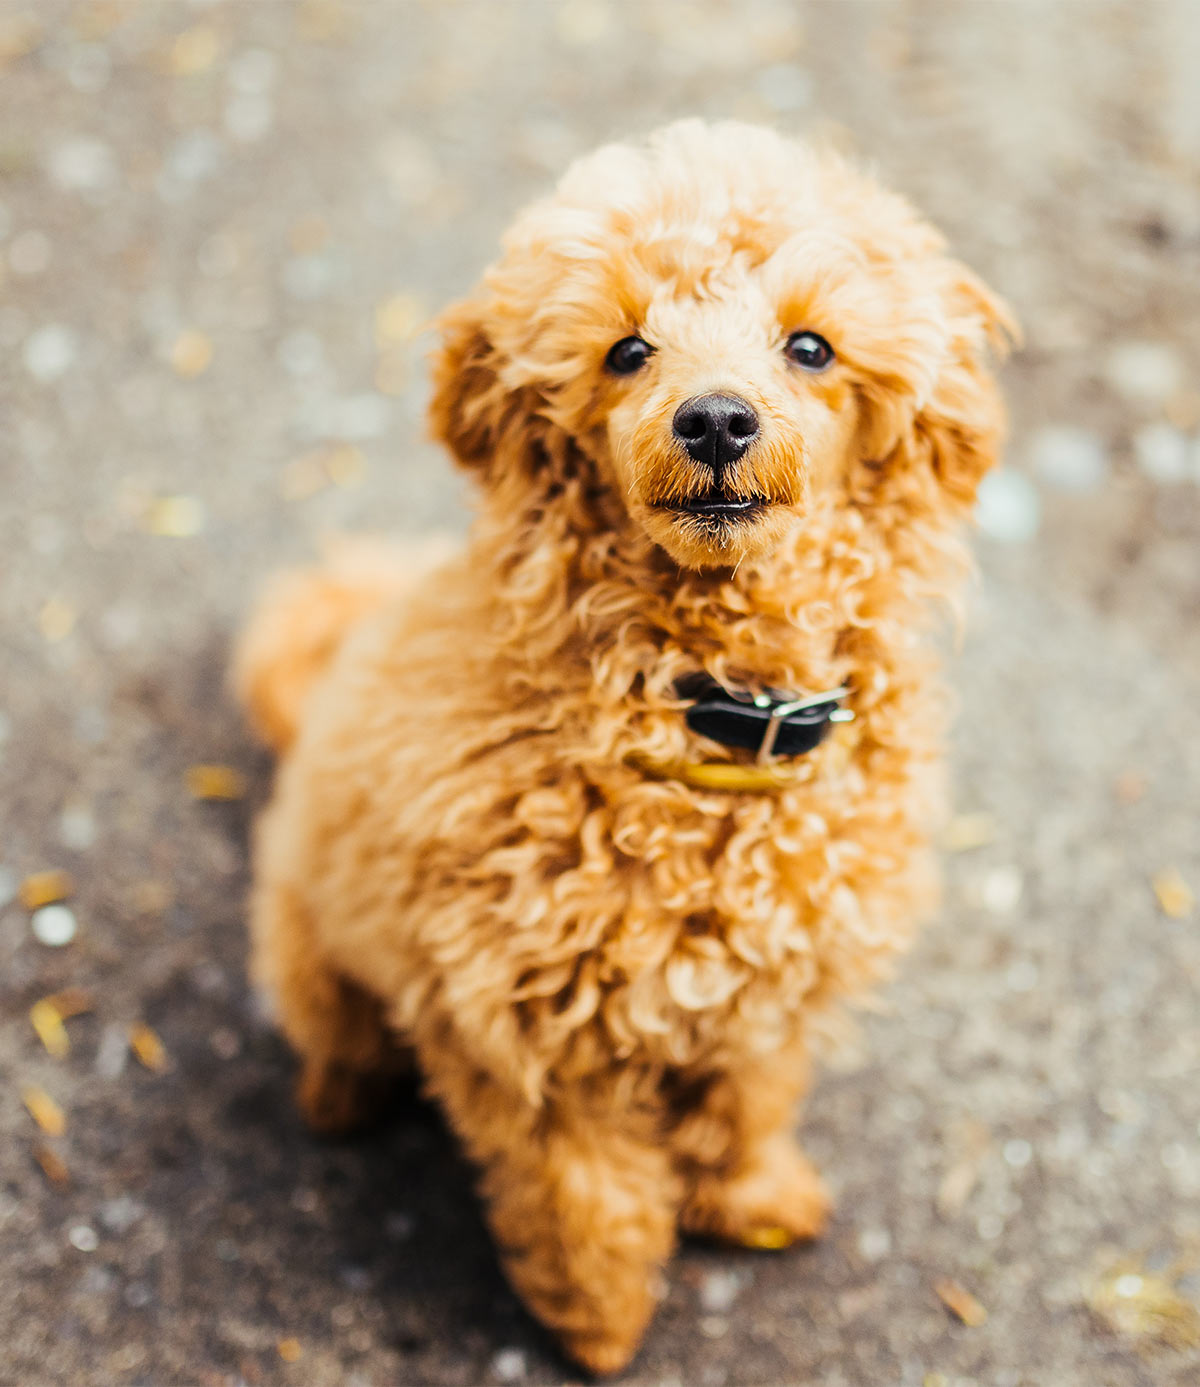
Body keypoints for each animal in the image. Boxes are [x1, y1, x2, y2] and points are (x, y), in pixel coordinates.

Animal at [234, 122, 1009, 1375]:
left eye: (811, 347)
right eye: (626, 351)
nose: (717, 420)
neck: (713, 718)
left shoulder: (770, 991)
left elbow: (748, 1105)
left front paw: (754, 1201)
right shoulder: (530, 1040)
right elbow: (583, 1202)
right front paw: (599, 1330)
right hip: (311, 941)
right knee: (338, 1034)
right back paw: (342, 1097)